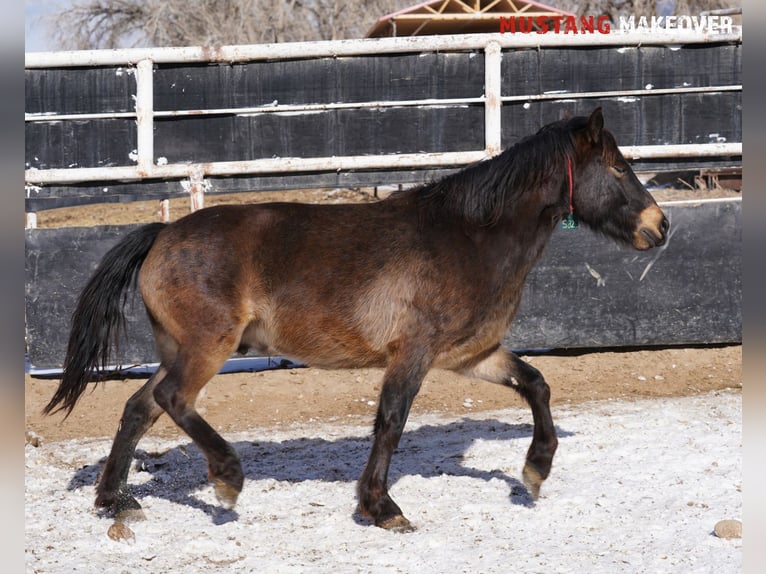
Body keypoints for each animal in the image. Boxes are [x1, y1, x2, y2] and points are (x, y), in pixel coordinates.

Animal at [43, 109, 664, 536]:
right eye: (616, 166)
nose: (660, 227)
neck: (470, 237)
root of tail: (162, 235)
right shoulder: (413, 352)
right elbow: (390, 421)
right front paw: (382, 508)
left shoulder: (470, 355)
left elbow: (536, 383)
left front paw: (534, 472)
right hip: (207, 347)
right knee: (172, 400)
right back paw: (226, 478)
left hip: (180, 347)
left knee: (139, 407)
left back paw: (116, 501)